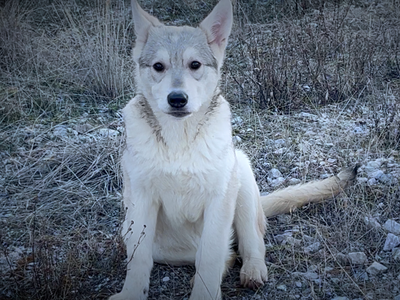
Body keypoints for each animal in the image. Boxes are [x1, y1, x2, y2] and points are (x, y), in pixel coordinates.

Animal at [109, 1, 356, 298]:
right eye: (158, 66)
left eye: (195, 65)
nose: (177, 99)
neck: (180, 139)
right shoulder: (142, 201)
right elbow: (139, 259)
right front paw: (131, 293)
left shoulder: (219, 198)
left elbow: (211, 255)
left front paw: (204, 294)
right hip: (143, 236)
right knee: (225, 254)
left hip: (242, 182)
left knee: (250, 243)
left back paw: (252, 271)